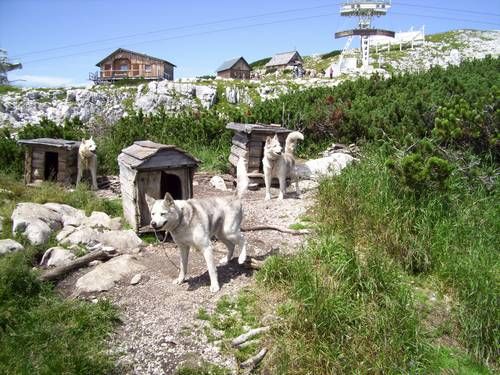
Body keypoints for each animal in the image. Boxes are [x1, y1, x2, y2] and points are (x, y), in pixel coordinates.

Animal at [147, 157, 250, 292]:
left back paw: (242, 258)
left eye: (163, 214)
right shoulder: (183, 248)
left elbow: (211, 270)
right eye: (153, 214)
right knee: (231, 246)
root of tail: (234, 196)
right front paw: (181, 280)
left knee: (243, 239)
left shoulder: (206, 247)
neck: (182, 220)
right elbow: (183, 267)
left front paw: (215, 286)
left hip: (229, 231)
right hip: (221, 234)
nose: (153, 224)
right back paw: (226, 260)